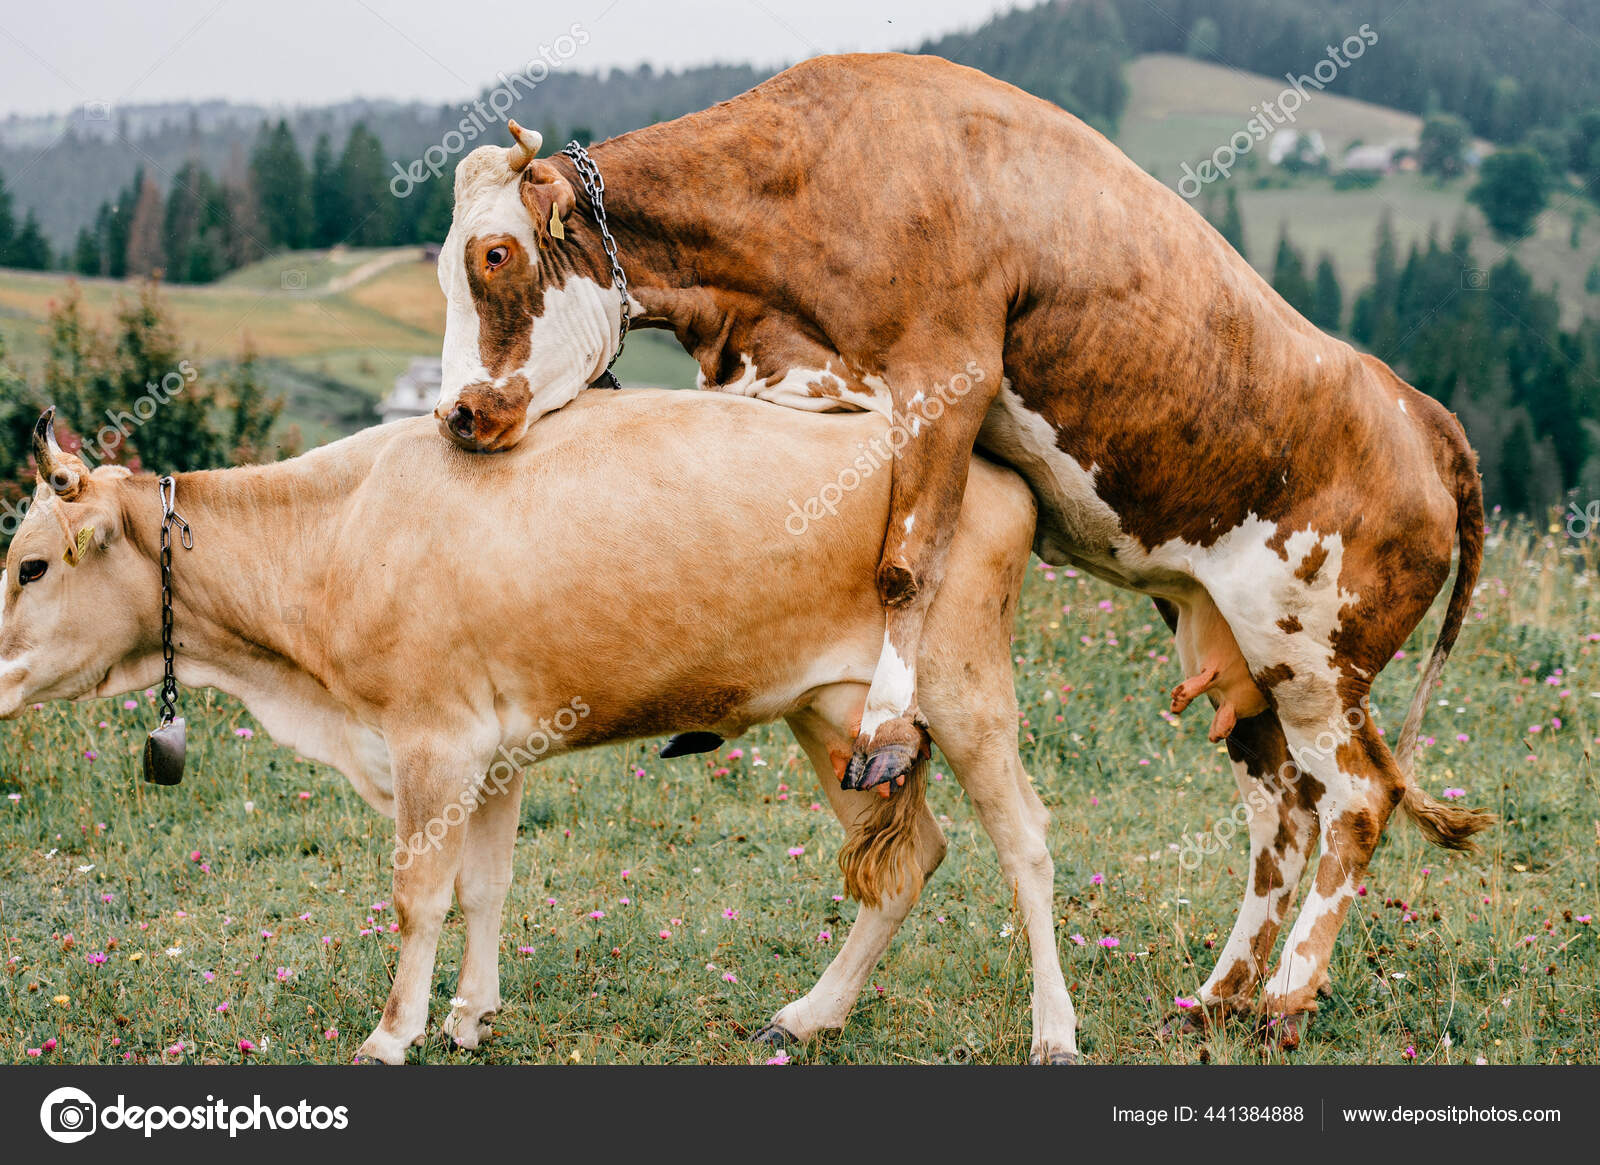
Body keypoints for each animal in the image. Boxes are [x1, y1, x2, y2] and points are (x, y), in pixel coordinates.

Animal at [432, 54, 1491, 1043]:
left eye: (496, 254)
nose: (457, 415)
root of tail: (1423, 414)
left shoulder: (950, 370)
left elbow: (909, 561)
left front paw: (887, 725)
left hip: (1311, 651)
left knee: (1360, 798)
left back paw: (1281, 997)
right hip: (1242, 658)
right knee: (1284, 813)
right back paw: (1217, 996)